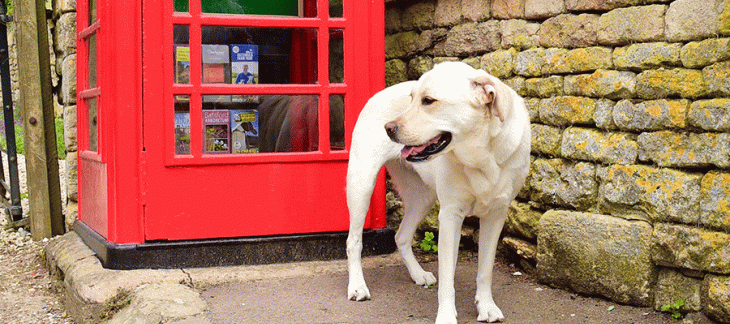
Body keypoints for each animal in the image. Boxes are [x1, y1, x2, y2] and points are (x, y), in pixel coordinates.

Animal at [346, 62, 528, 322]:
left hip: (423, 199)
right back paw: (357, 287)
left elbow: (485, 270)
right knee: (353, 240)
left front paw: (486, 306)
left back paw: (418, 274)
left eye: (429, 101)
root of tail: (379, 92)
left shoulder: (496, 216)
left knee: (401, 236)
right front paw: (446, 315)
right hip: (361, 184)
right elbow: (447, 279)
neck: (481, 157)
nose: (388, 127)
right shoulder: (450, 215)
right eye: (411, 98)